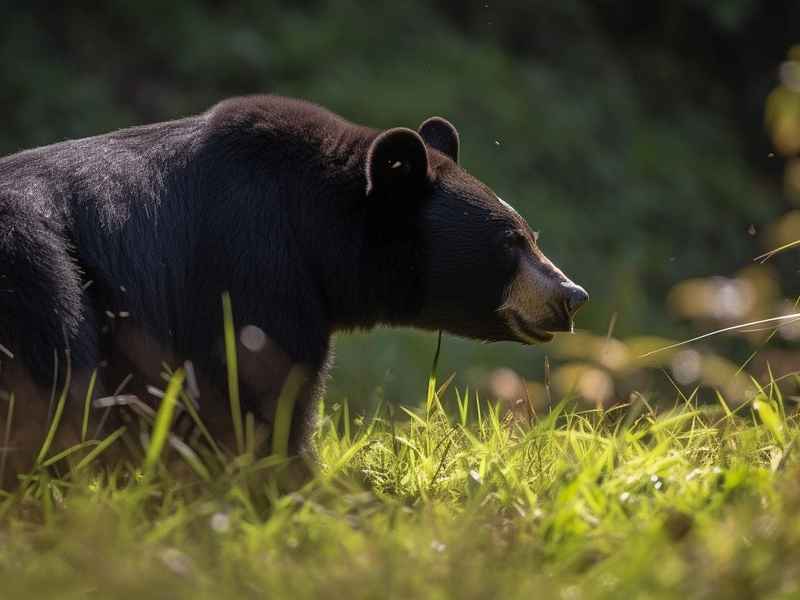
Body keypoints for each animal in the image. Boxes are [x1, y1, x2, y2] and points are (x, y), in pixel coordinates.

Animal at [0, 95, 587, 485]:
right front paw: (301, 481)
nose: (572, 294)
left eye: (531, 235)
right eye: (510, 242)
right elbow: (263, 391)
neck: (315, 233)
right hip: (39, 274)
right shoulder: (250, 264)